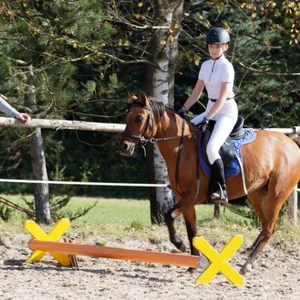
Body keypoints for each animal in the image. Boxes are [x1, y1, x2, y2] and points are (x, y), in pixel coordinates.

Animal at [119, 91, 300, 274]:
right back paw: (250, 254)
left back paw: (248, 264)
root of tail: (292, 144)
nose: (124, 146)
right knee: (265, 225)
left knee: (270, 227)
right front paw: (193, 263)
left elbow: (168, 215)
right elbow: (192, 230)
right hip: (257, 194)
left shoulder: (194, 196)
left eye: (139, 118)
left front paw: (179, 244)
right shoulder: (184, 198)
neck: (182, 147)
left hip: (277, 194)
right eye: (127, 116)